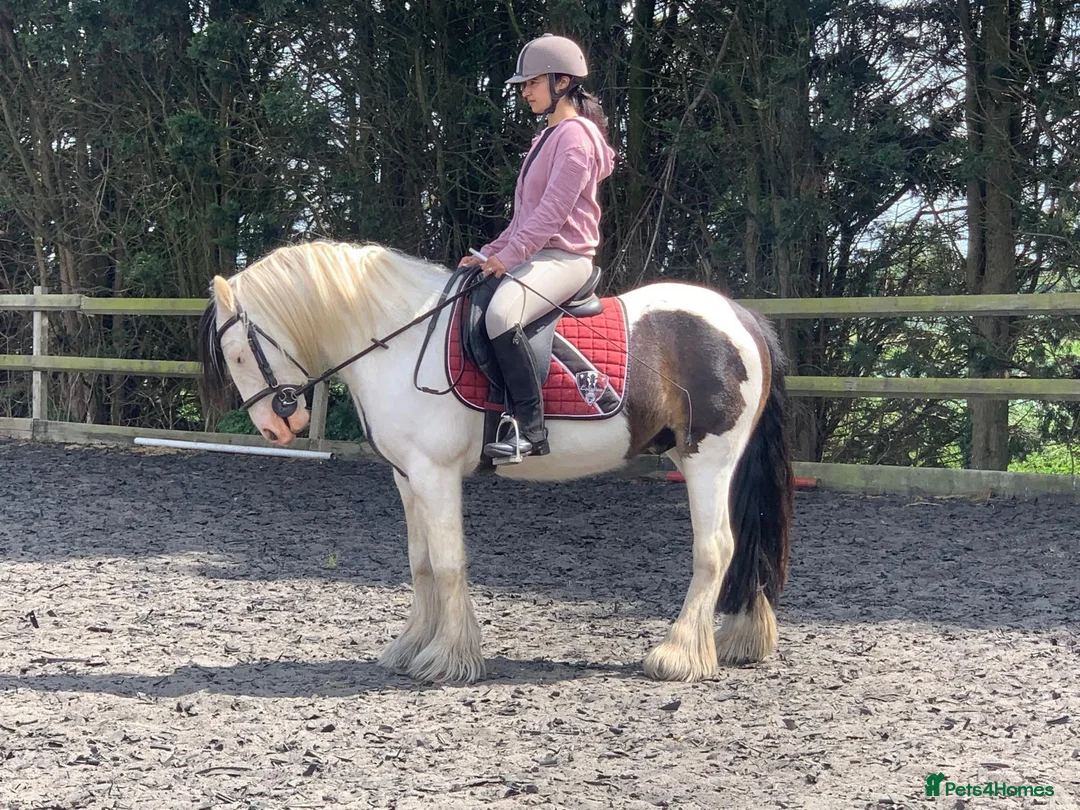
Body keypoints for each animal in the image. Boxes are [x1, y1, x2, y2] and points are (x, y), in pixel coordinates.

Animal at [198, 240, 793, 684]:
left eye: (239, 354)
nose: (275, 428)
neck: (399, 337)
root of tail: (742, 318)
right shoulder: (406, 476)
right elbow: (420, 562)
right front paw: (410, 646)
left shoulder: (435, 473)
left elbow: (447, 561)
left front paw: (448, 660)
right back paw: (738, 640)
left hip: (707, 459)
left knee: (715, 549)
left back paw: (678, 655)